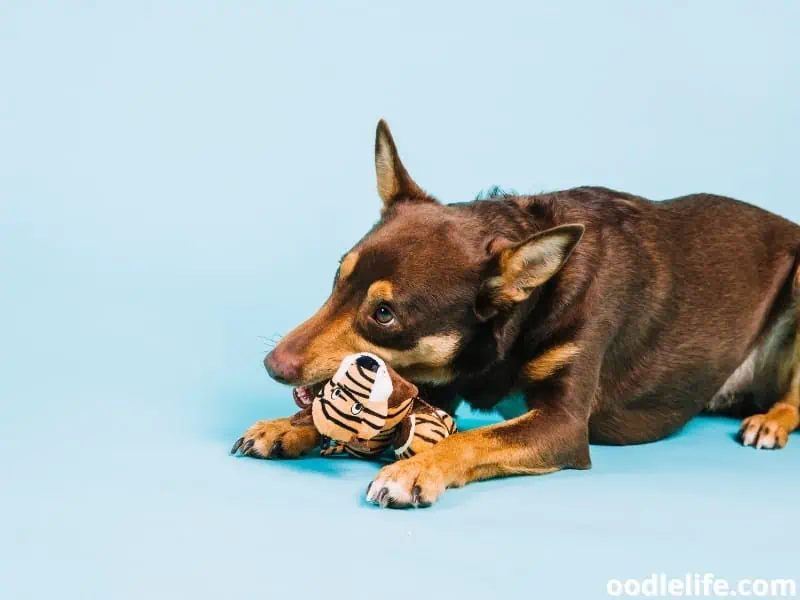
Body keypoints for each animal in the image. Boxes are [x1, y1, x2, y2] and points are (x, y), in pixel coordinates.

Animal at [231, 119, 800, 508]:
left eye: (385, 314)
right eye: (338, 277)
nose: (272, 366)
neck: (524, 311)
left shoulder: (562, 425)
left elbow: (476, 438)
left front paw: (415, 471)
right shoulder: (438, 382)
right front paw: (289, 426)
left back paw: (771, 420)